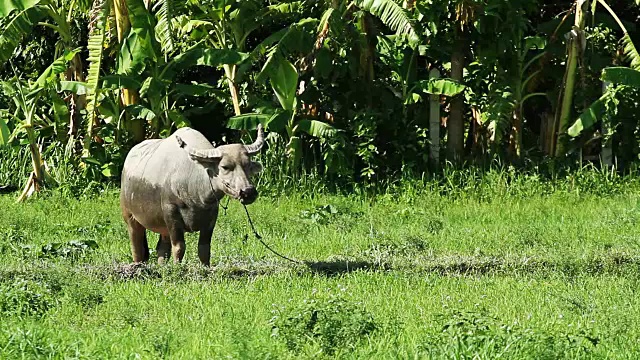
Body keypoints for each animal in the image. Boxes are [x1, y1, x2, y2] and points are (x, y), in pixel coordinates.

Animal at [120, 125, 264, 266]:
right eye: (225, 167)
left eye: (247, 165)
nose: (248, 192)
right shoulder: (171, 214)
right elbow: (179, 247)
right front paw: (177, 268)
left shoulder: (211, 217)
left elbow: (204, 249)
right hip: (130, 217)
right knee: (137, 247)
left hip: (163, 228)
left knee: (162, 249)